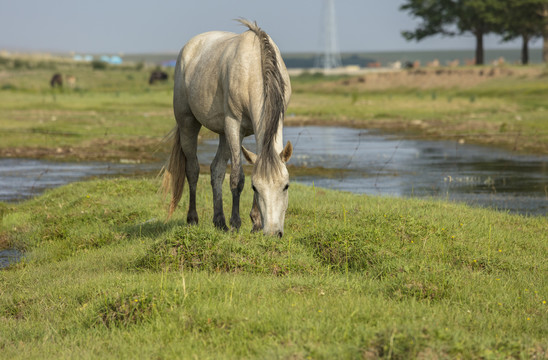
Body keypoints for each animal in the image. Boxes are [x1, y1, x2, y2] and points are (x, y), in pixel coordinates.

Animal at [162, 19, 294, 236]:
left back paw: (219, 221)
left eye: (286, 186)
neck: (253, 69)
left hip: (224, 134)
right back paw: (193, 219)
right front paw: (236, 223)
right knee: (193, 169)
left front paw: (255, 223)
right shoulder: (234, 124)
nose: (272, 233)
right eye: (256, 188)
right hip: (189, 123)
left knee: (216, 169)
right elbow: (237, 178)